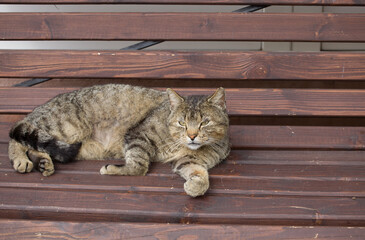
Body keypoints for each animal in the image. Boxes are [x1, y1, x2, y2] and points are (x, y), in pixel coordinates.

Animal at [8, 84, 229, 197]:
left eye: (204, 122)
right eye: (182, 123)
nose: (192, 136)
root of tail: (40, 107)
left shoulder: (189, 162)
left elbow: (201, 176)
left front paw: (195, 187)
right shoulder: (137, 134)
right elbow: (139, 166)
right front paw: (115, 169)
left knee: (34, 143)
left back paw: (43, 162)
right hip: (65, 126)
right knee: (17, 133)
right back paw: (21, 159)